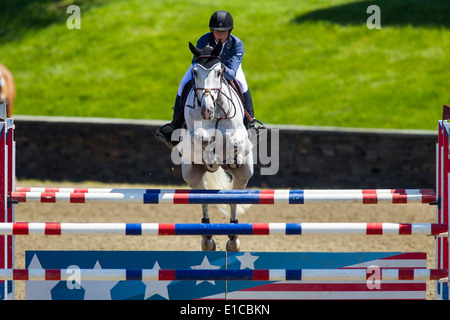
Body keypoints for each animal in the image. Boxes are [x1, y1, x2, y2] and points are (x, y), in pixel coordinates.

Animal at [175, 42, 253, 252]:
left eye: (220, 72)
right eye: (194, 72)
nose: (206, 110)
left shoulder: (240, 134)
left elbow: (234, 141)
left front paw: (232, 157)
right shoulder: (192, 136)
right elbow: (201, 138)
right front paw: (211, 159)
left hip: (245, 173)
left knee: (234, 199)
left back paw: (233, 239)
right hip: (191, 174)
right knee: (203, 198)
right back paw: (207, 238)